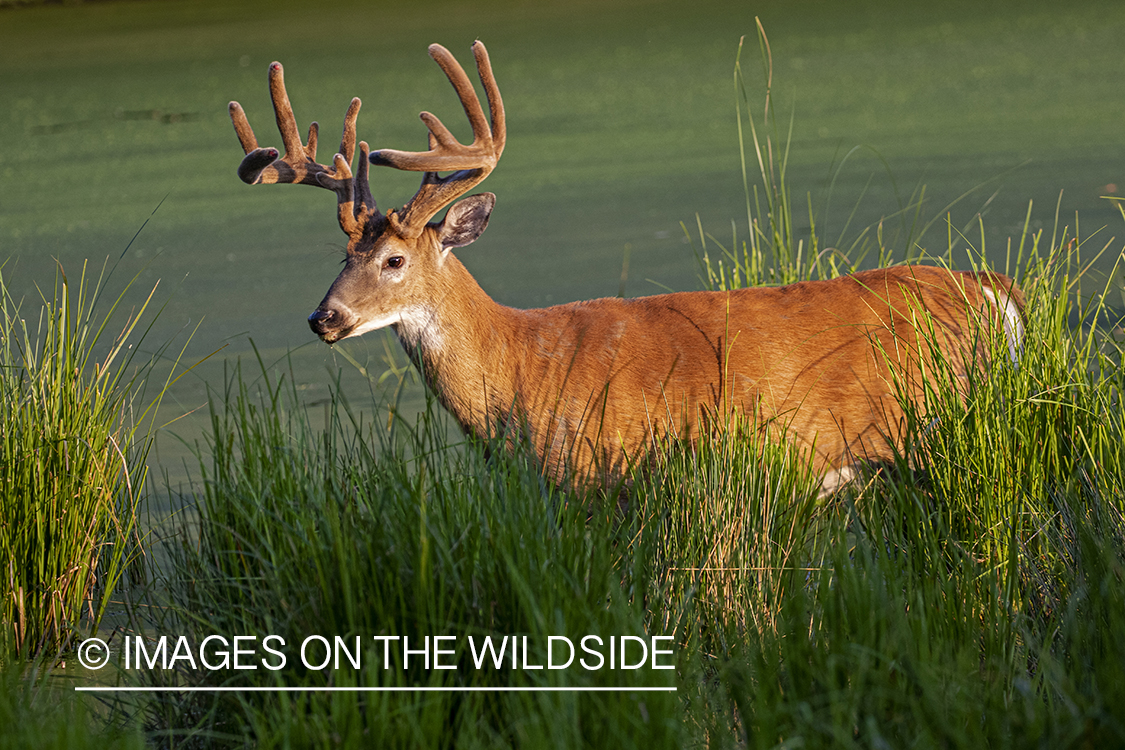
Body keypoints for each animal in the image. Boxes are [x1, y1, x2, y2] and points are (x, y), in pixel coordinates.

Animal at [226, 44, 1021, 494]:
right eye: (343, 256)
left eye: (393, 259)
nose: (323, 317)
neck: (522, 367)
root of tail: (990, 291)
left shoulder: (605, 472)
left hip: (935, 427)